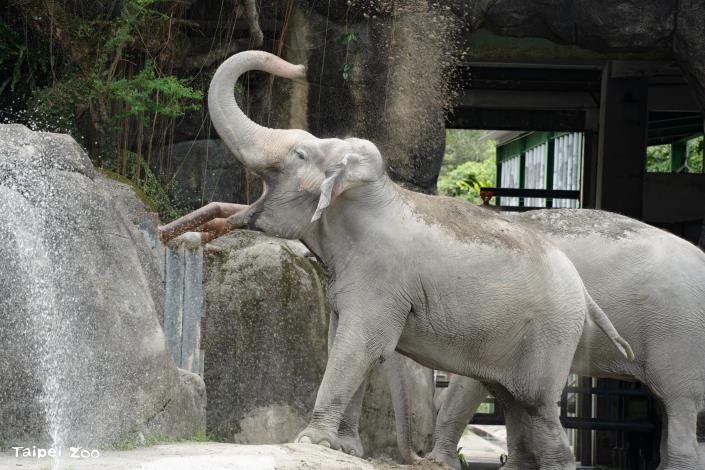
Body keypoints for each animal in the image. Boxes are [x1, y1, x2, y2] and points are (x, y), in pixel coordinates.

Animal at [158, 50, 634, 469]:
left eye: (299, 155)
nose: (299, 66)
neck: (370, 192)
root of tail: (585, 293)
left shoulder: (381, 278)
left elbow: (357, 344)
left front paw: (310, 441)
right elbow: (339, 340)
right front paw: (344, 448)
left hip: (550, 336)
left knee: (536, 408)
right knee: (514, 404)